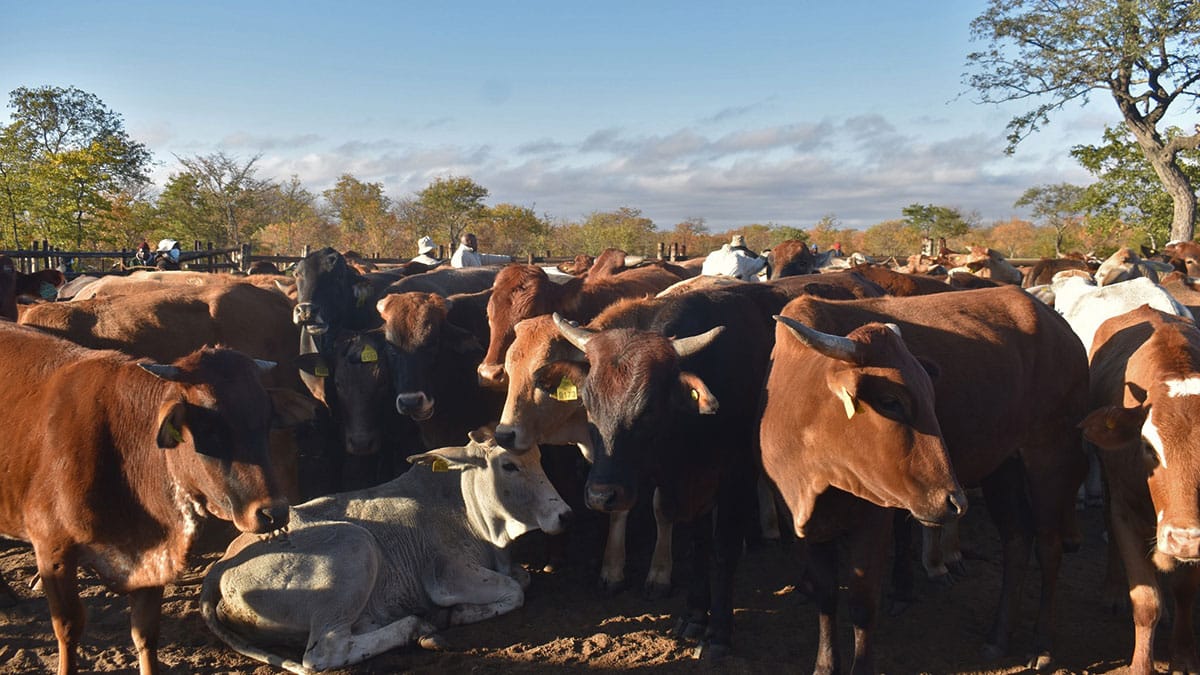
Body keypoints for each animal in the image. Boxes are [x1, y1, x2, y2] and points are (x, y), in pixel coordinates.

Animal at [0, 321, 290, 672]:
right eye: (210, 427)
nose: (274, 513)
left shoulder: (155, 556)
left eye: (266, 422)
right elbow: (68, 628)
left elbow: (146, 633)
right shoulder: (53, 551)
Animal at [200, 429, 571, 672]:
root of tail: (220, 565)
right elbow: (515, 590)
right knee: (325, 652)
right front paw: (458, 613)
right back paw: (418, 627)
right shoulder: (448, 575)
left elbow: (522, 579)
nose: (564, 514)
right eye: (509, 465)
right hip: (356, 546)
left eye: (538, 458)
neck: (467, 508)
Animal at [763, 285, 1094, 667]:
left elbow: (862, 605)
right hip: (1003, 466)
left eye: (931, 394)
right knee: (1017, 540)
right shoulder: (807, 522)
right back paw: (998, 637)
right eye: (890, 401)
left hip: (1050, 454)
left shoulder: (874, 518)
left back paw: (1041, 644)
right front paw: (824, 666)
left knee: (1049, 546)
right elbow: (826, 597)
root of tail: (1059, 326)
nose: (955, 501)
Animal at [1084, 306, 1200, 672]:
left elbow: (1185, 590)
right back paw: (1112, 591)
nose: (1184, 539)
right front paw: (1140, 665)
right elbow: (1147, 600)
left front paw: (1184, 654)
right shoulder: (1126, 512)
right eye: (1148, 446)